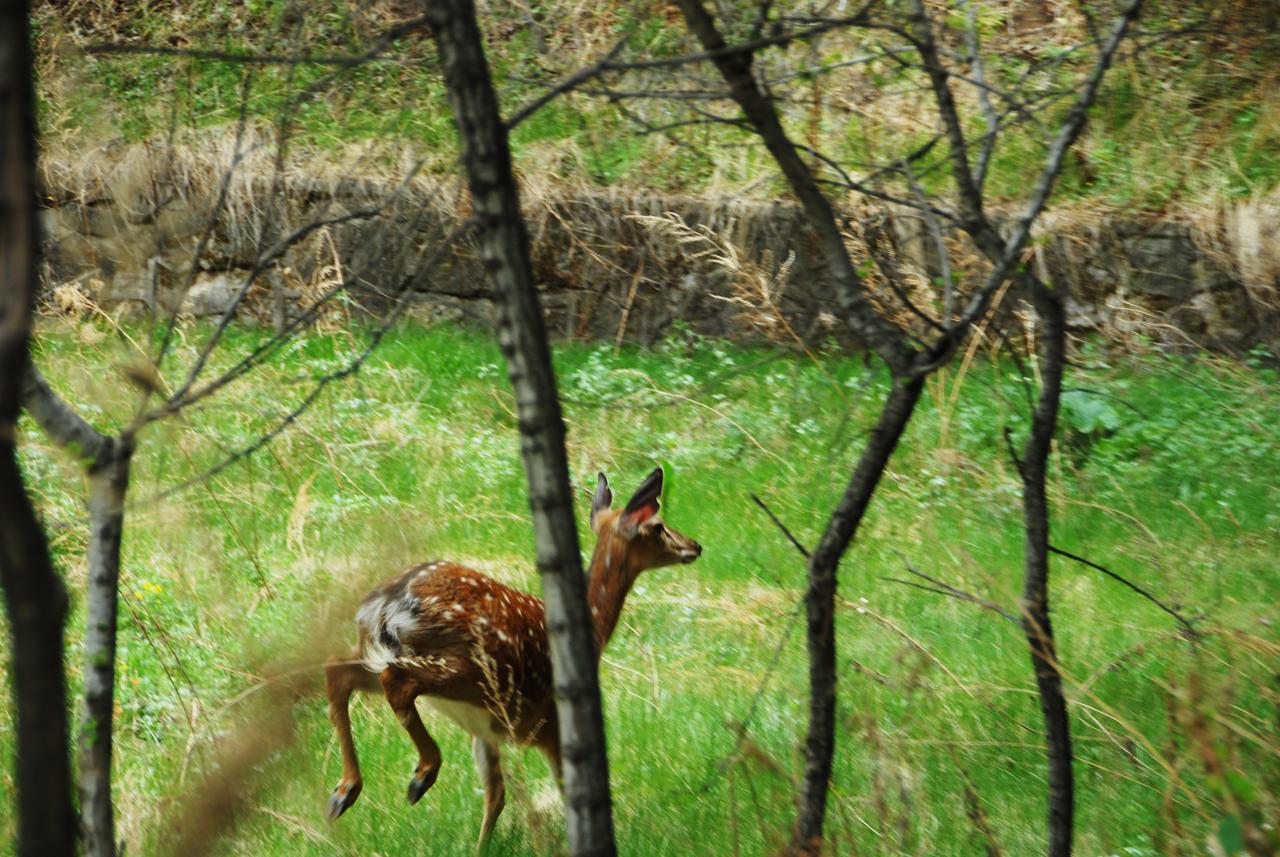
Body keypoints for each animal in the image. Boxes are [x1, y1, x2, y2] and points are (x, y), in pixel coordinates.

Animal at [320, 465, 701, 849]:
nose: (694, 545)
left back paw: (343, 793)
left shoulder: (485, 730)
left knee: (337, 670)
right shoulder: (548, 723)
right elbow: (566, 791)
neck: (593, 630)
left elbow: (496, 796)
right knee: (396, 682)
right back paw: (421, 775)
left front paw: (481, 849)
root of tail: (383, 605)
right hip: (470, 669)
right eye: (657, 525)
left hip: (382, 655)